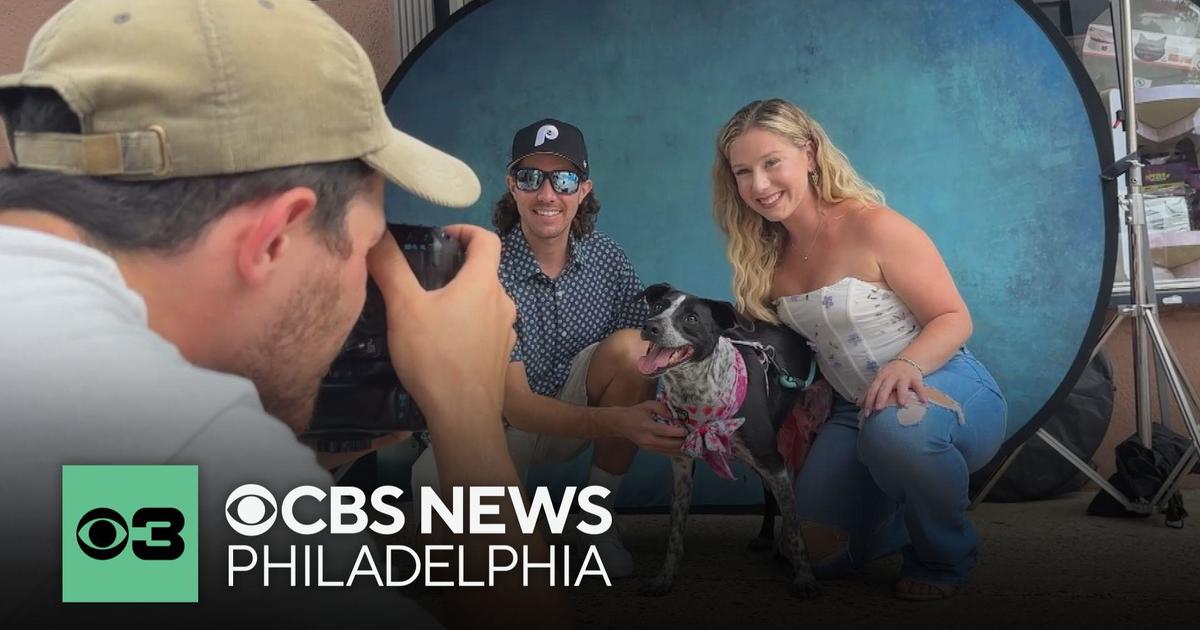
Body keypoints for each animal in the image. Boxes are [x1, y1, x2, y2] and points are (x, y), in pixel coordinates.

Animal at [633, 282, 820, 597]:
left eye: (692, 318)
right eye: (657, 307)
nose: (651, 326)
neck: (698, 393)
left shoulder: (773, 462)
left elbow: (794, 525)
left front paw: (805, 577)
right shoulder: (682, 468)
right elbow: (675, 532)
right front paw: (665, 577)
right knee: (769, 494)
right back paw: (765, 537)